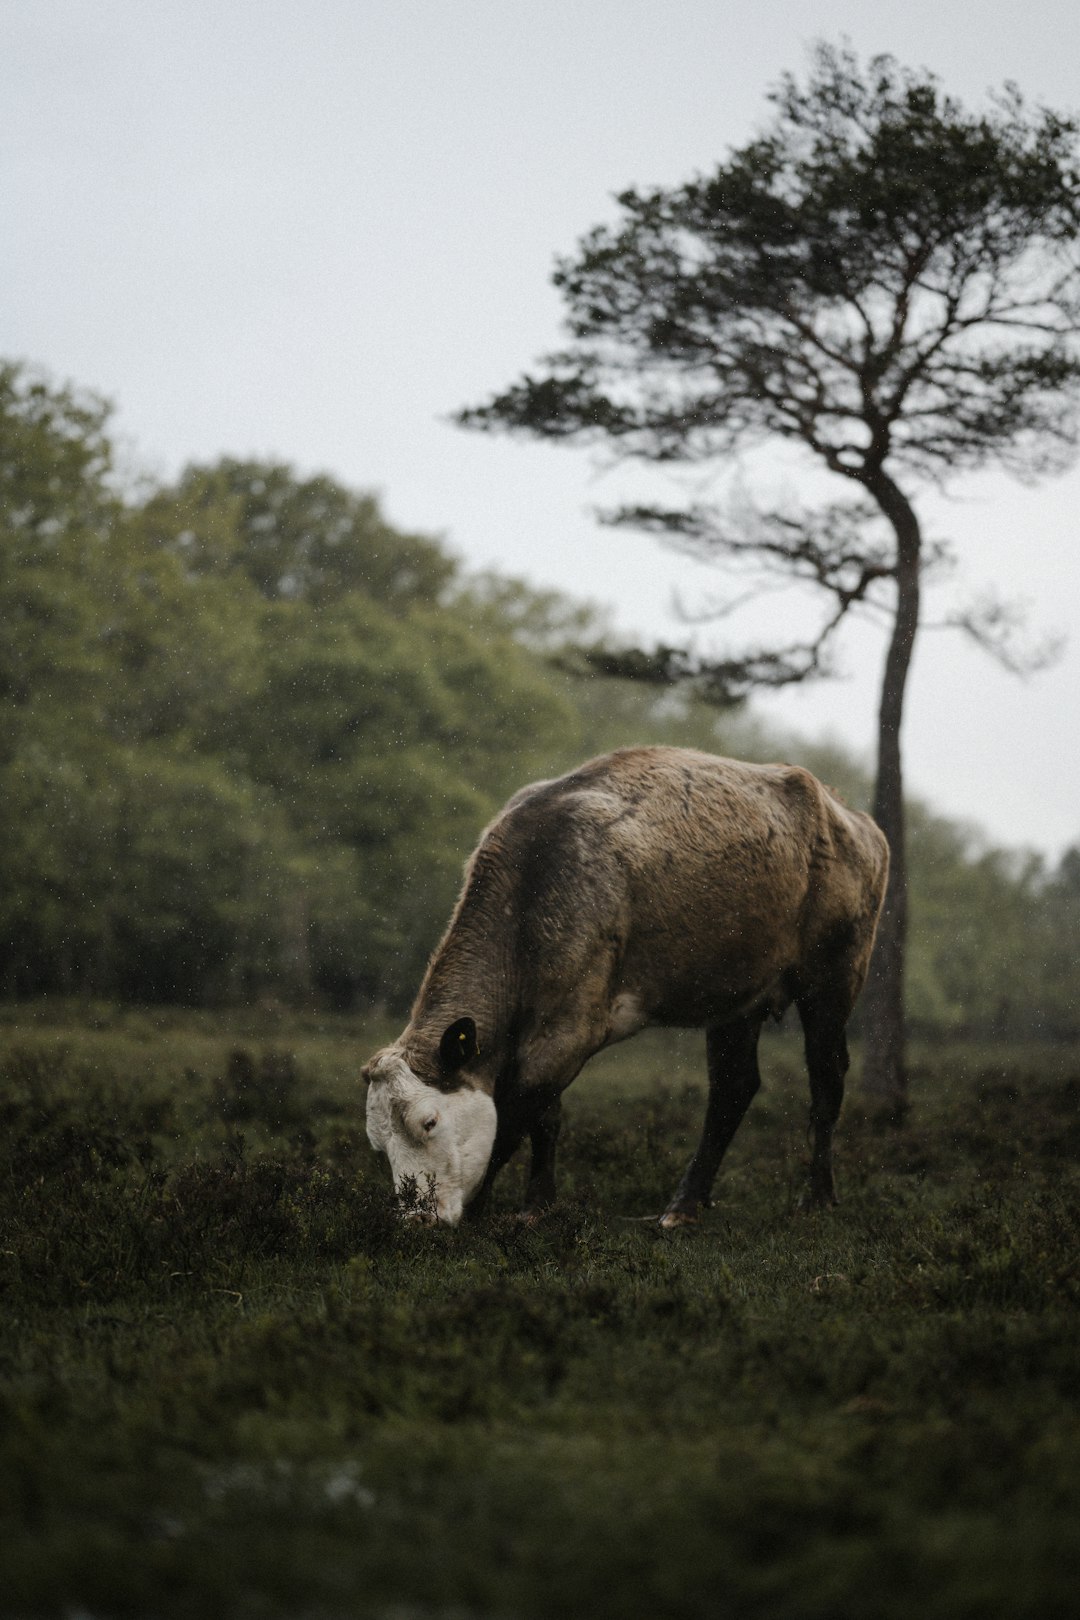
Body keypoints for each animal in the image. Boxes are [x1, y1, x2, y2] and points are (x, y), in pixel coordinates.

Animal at [362, 745, 887, 1224]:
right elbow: (546, 1118)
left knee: (826, 1078)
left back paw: (816, 1196)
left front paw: (487, 1209)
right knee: (733, 1088)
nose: (416, 1218)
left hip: (833, 979)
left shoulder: (570, 1028)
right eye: (378, 1145)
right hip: (738, 996)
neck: (534, 882)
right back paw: (684, 1206)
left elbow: (517, 1114)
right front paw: (537, 1206)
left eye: (429, 1122)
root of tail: (850, 816)